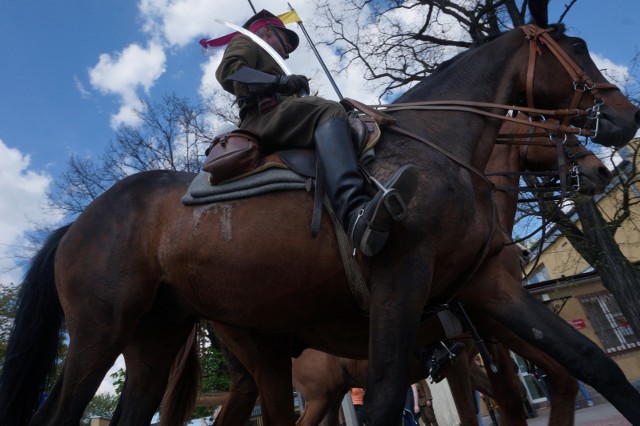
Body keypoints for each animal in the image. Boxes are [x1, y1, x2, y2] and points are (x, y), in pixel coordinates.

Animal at [2, 1, 636, 424]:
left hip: (162, 339)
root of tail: (79, 222)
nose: (625, 119)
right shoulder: (403, 282)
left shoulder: (486, 288)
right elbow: (386, 400)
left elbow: (590, 366)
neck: (440, 147)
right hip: (100, 332)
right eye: (577, 49)